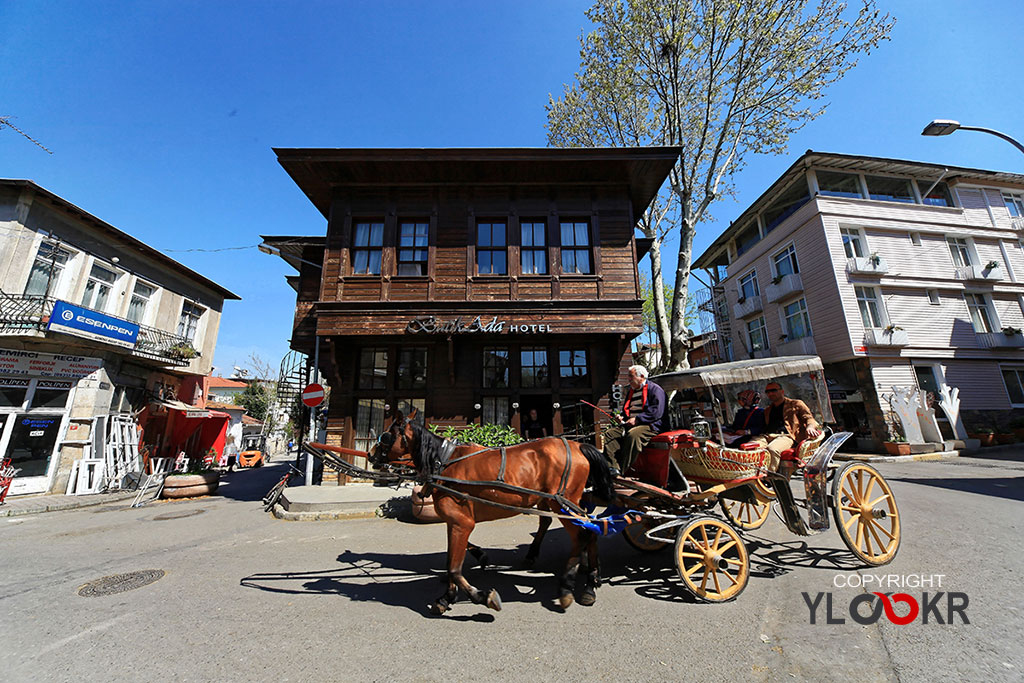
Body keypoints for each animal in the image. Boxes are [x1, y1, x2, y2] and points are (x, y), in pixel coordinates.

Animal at [376, 413, 614, 618]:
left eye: (387, 435)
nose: (371, 453)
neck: (444, 464)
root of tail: (578, 445)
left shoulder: (463, 523)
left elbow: (454, 568)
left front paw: (481, 596)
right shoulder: (454, 523)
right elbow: (450, 560)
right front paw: (446, 598)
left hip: (561, 503)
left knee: (582, 535)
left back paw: (567, 589)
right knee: (590, 530)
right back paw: (591, 581)